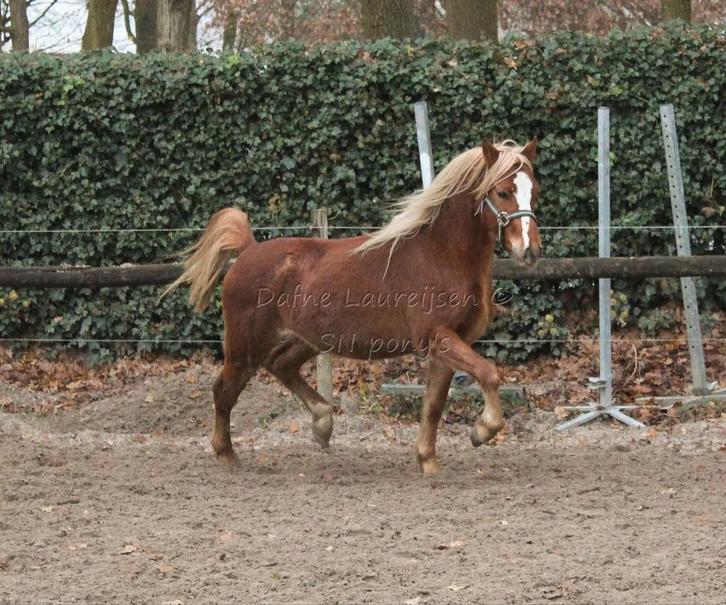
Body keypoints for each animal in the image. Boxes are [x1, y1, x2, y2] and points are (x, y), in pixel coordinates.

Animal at [163, 139, 541, 475]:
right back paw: (228, 455)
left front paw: (428, 461)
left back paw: (322, 424)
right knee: (224, 391)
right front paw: (481, 432)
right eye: (502, 192)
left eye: (534, 191)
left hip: (306, 339)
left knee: (281, 366)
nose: (530, 250)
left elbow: (434, 404)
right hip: (245, 346)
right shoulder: (437, 338)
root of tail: (247, 251)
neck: (441, 256)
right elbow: (489, 374)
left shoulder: (449, 343)